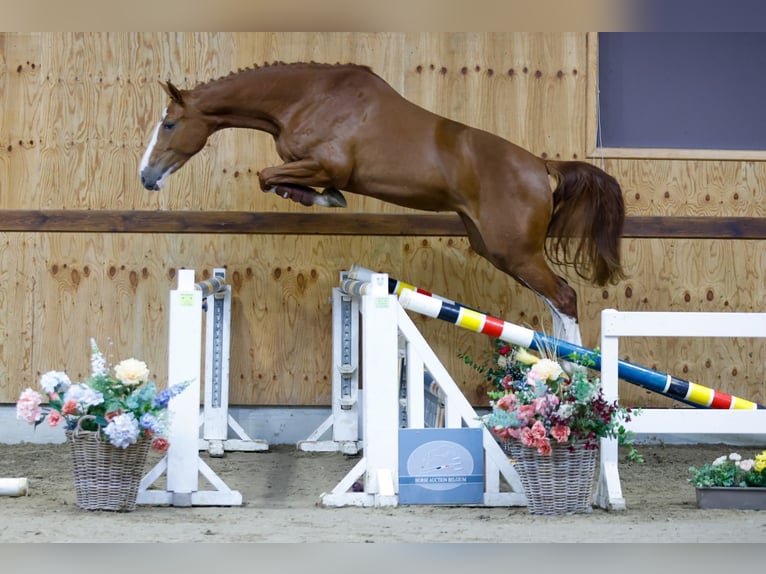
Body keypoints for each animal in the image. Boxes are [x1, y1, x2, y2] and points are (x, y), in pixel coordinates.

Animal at [142, 62, 624, 346]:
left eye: (170, 125)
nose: (147, 177)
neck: (306, 97)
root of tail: (541, 166)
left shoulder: (325, 165)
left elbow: (269, 178)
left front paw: (323, 198)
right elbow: (270, 178)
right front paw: (318, 197)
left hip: (515, 251)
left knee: (564, 297)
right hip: (497, 249)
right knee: (556, 302)